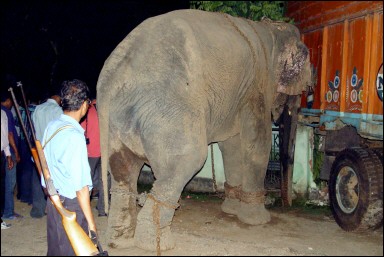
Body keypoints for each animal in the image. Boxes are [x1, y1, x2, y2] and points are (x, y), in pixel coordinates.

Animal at [96, 9, 312, 250]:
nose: (287, 203)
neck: (270, 30)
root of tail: (109, 80)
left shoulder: (238, 96)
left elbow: (232, 146)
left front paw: (231, 210)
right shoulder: (256, 89)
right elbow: (257, 143)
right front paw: (257, 221)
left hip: (120, 120)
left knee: (123, 170)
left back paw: (120, 241)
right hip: (167, 111)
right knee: (187, 159)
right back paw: (158, 244)